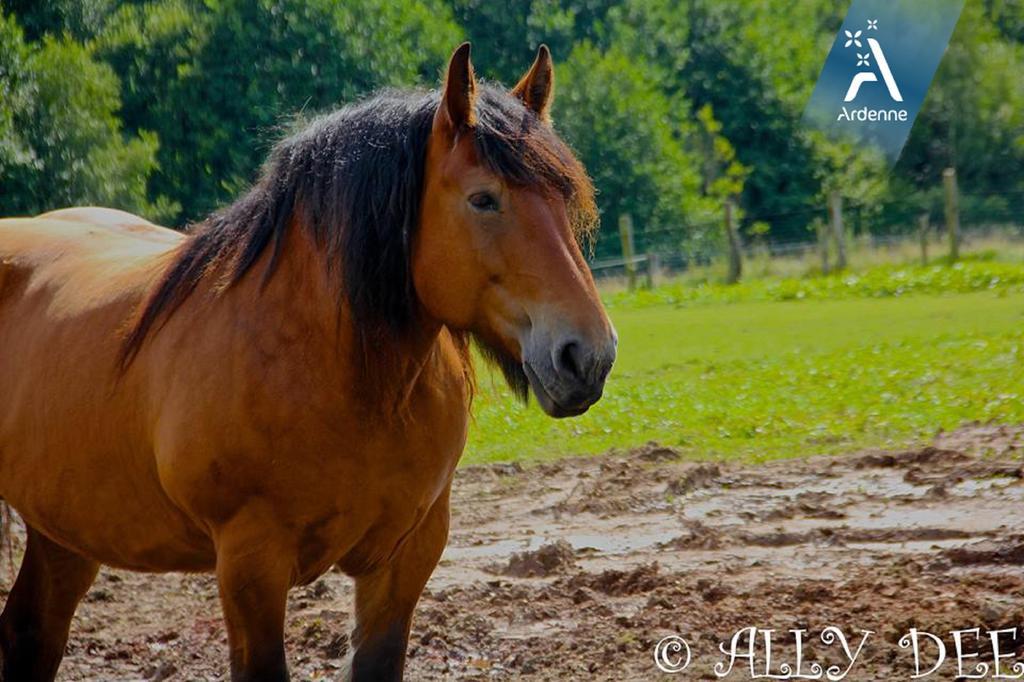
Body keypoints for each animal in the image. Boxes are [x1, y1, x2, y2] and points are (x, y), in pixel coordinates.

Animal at [0, 45, 614, 675]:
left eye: (566, 198)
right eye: (483, 199)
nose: (587, 356)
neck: (344, 379)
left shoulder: (406, 559)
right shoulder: (250, 565)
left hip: (64, 532)